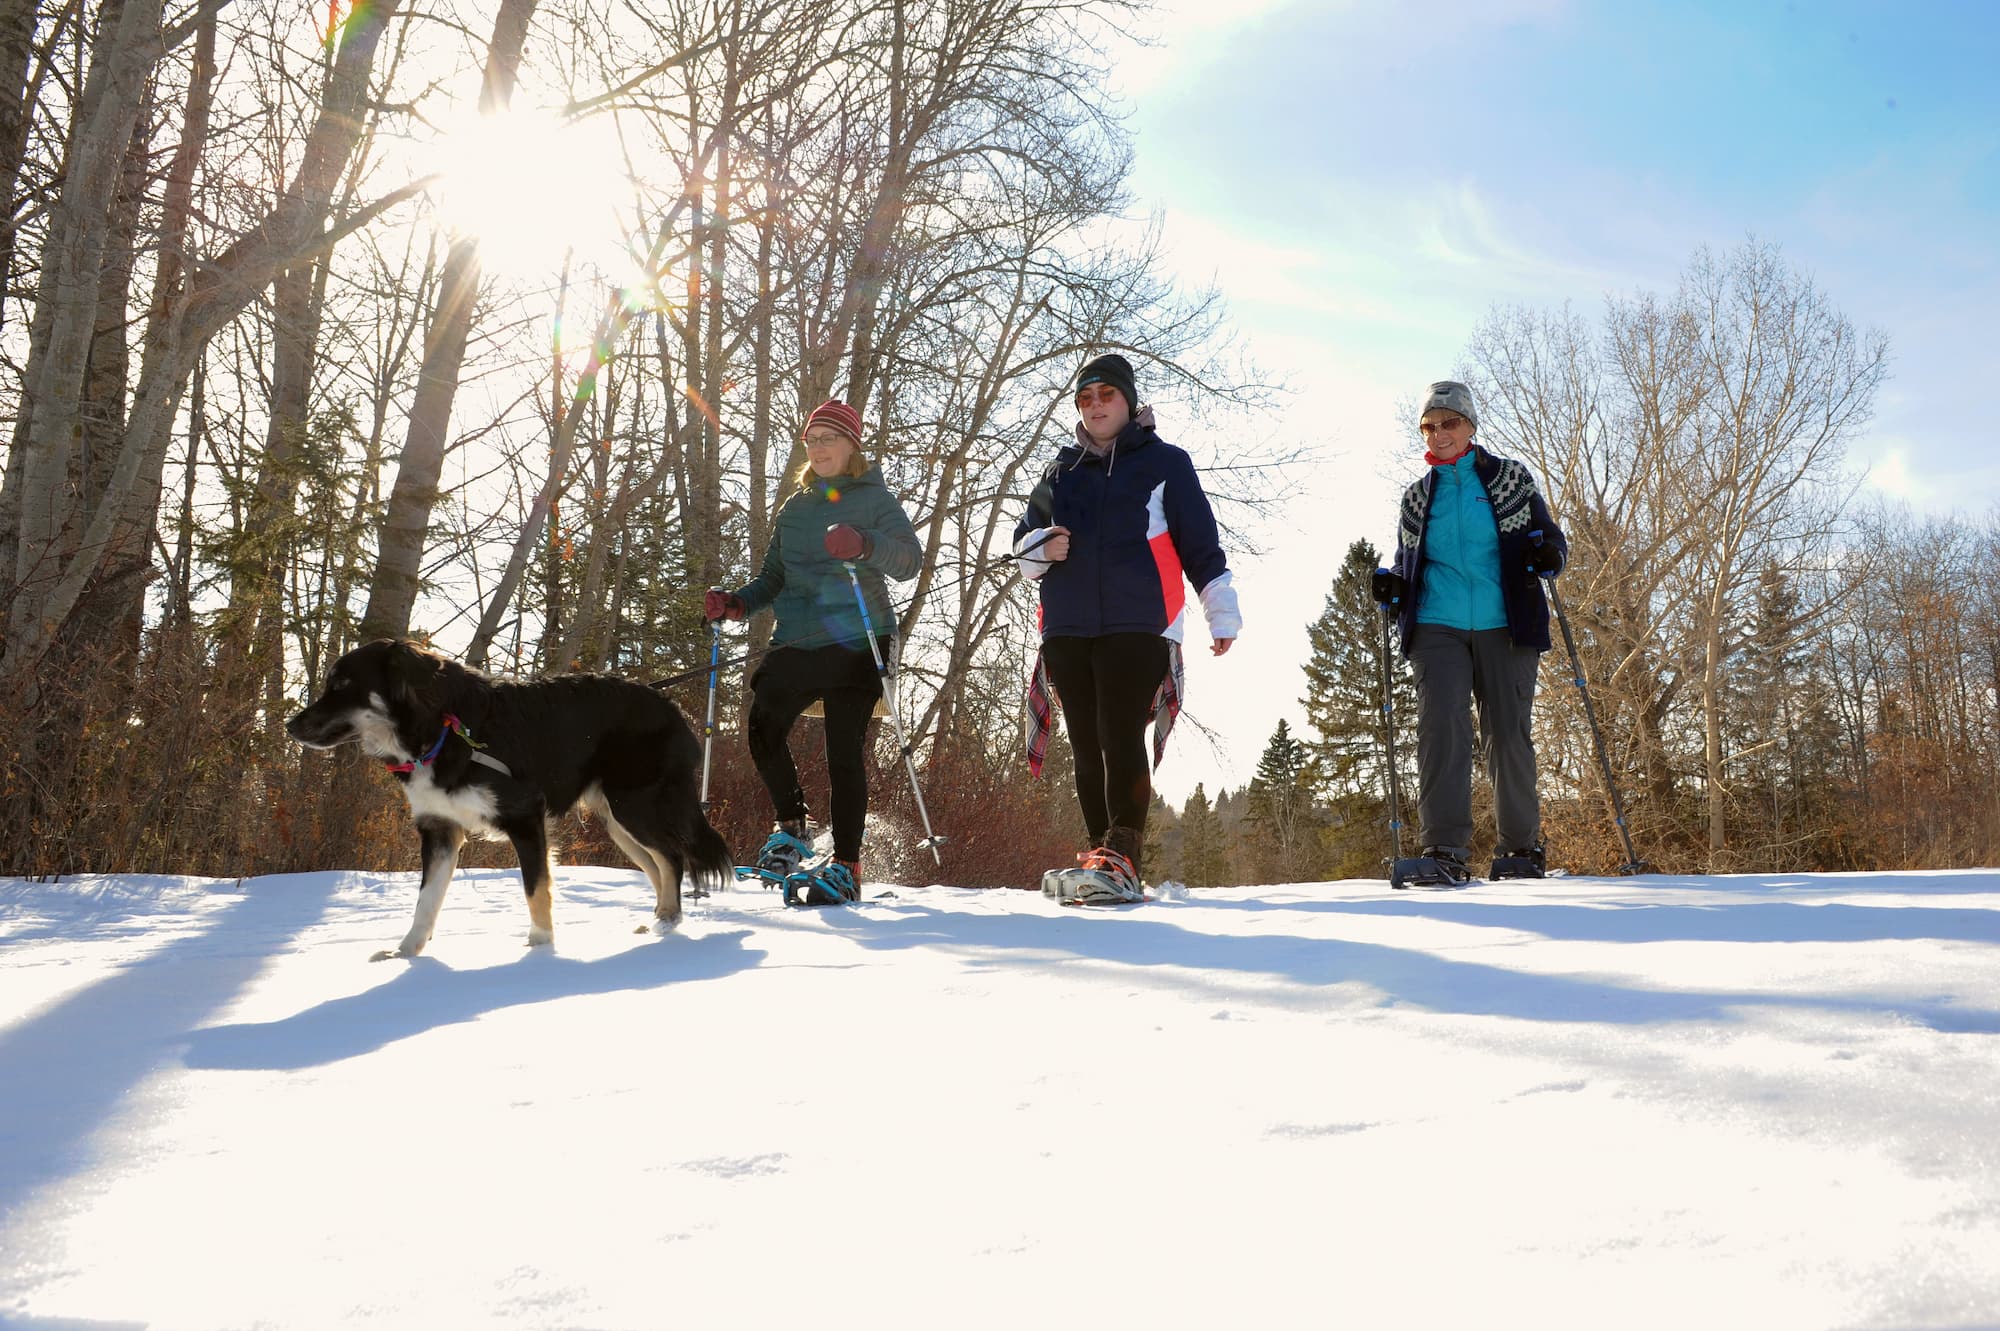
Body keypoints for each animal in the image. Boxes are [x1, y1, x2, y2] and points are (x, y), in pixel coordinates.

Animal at [286, 639, 732, 959]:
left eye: (343, 686)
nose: (291, 726)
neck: (444, 729)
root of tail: (673, 709)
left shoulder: (525, 817)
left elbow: (536, 890)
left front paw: (539, 951)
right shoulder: (440, 829)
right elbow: (426, 901)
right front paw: (405, 954)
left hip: (634, 808)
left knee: (672, 858)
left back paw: (666, 925)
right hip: (617, 822)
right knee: (658, 866)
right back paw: (658, 923)